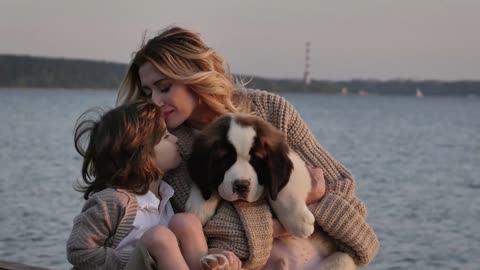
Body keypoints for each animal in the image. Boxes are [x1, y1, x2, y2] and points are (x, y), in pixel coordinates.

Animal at [185, 113, 356, 268]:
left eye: (256, 161)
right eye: (226, 161)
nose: (241, 185)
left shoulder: (297, 164)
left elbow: (284, 191)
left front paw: (299, 221)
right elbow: (206, 184)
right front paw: (198, 207)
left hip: (342, 259)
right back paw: (220, 262)